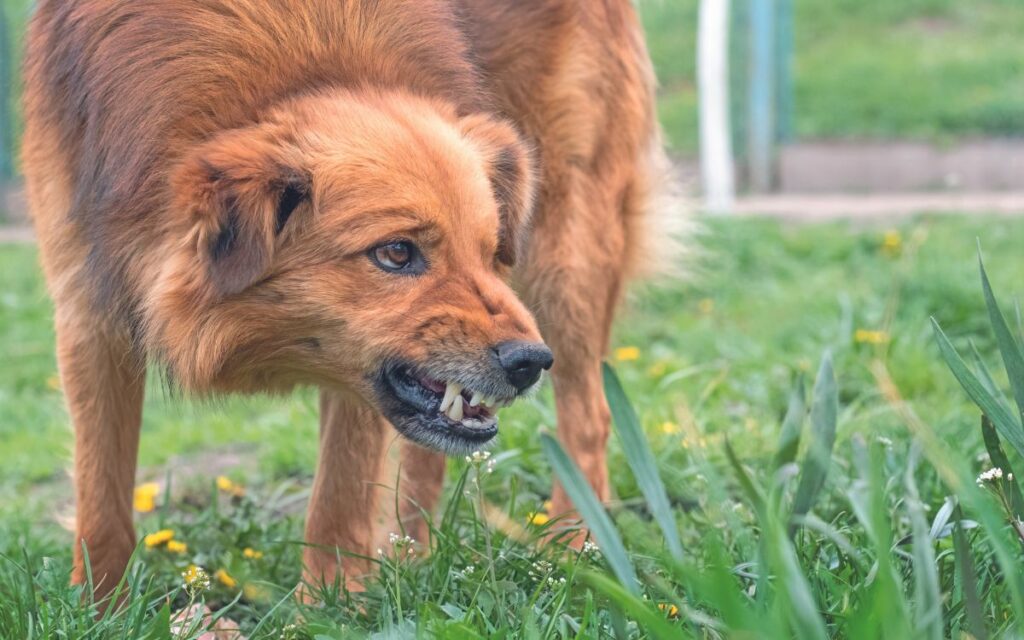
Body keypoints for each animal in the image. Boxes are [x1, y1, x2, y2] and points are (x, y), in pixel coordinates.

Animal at [22, 0, 671, 593]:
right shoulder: (87, 309)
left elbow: (337, 506)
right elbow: (101, 501)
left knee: (589, 417)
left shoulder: (360, 369)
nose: (530, 363)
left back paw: (577, 550)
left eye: (489, 252)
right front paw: (97, 611)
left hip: (567, 252)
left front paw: (325, 614)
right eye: (396, 253)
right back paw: (415, 559)